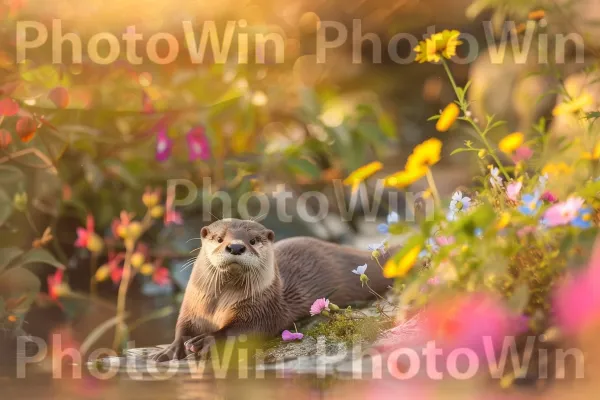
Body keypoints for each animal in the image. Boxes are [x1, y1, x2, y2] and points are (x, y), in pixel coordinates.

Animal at [151, 219, 394, 362]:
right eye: (219, 238)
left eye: (252, 240)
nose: (235, 246)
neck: (217, 306)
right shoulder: (192, 306)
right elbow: (182, 327)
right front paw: (170, 349)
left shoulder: (262, 309)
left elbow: (241, 330)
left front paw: (205, 340)